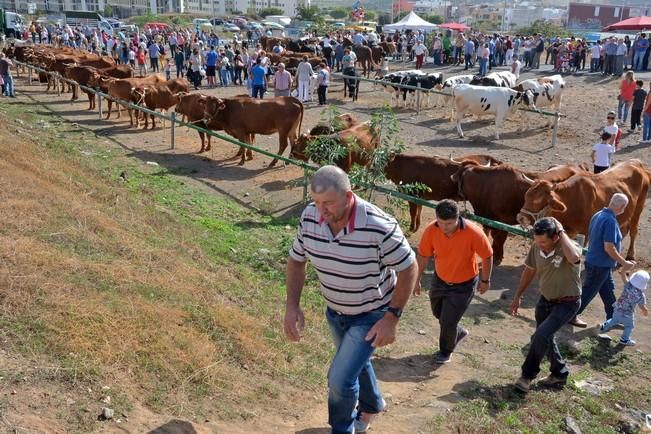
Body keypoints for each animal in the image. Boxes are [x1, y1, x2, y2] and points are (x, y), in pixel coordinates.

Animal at [520, 160, 651, 260]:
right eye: (526, 196)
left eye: (537, 201)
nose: (520, 217)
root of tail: (637, 164)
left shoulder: (579, 231)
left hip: (639, 206)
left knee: (633, 230)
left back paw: (630, 255)